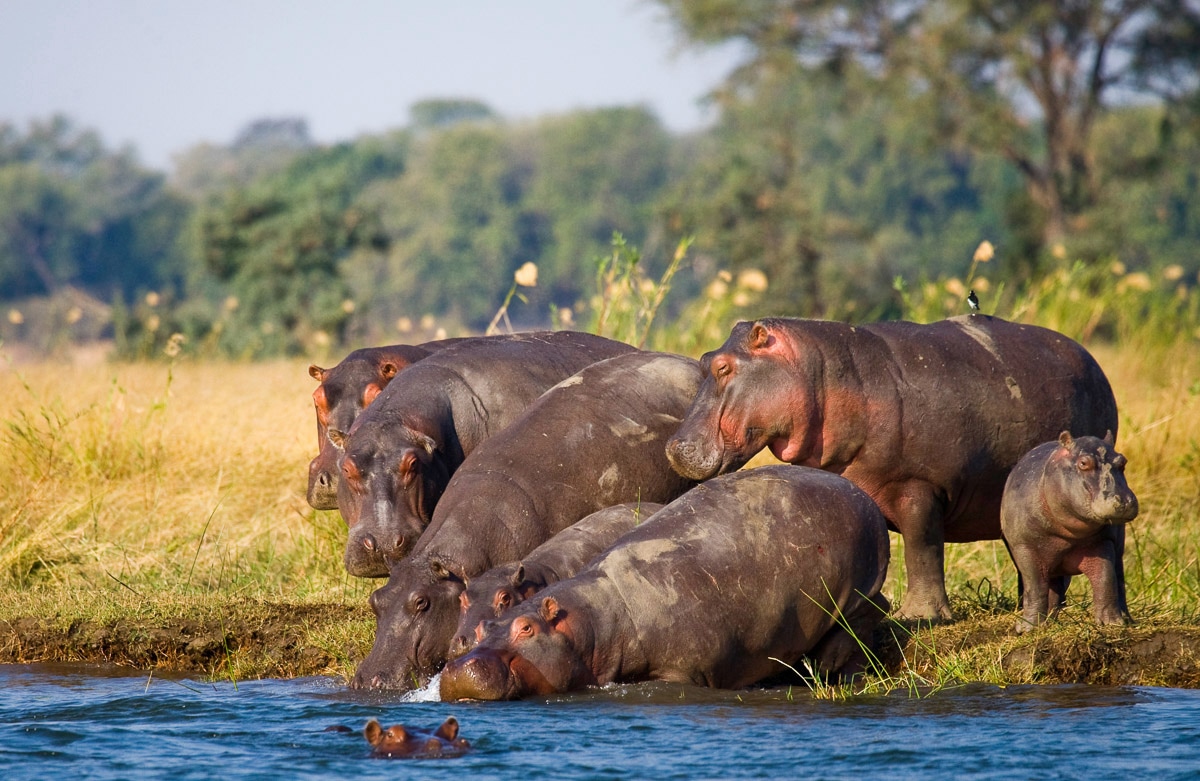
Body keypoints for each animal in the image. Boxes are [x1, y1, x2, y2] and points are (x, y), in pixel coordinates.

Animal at [665, 315, 1118, 621]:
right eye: (704, 359)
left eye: (723, 366)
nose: (673, 446)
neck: (822, 375)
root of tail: (1092, 359)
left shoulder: (919, 486)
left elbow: (922, 549)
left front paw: (918, 617)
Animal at [1001, 431, 1139, 633]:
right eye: (1083, 463)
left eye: (1123, 461)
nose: (1125, 501)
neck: (1069, 533)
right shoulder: (1025, 547)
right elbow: (1034, 587)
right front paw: (1028, 628)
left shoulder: (1102, 542)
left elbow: (1105, 579)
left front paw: (1112, 623)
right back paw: (1049, 621)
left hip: (1117, 549)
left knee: (1118, 578)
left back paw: (1127, 619)